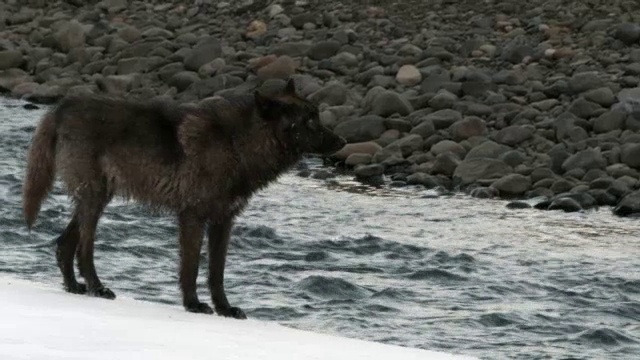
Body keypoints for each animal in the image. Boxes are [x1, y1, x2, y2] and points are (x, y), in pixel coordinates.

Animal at [21, 79, 344, 318]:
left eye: (317, 115)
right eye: (309, 121)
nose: (342, 141)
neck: (237, 145)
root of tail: (62, 106)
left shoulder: (224, 222)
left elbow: (217, 272)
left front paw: (225, 309)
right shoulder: (192, 217)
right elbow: (191, 267)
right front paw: (193, 305)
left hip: (97, 199)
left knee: (64, 244)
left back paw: (74, 287)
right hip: (95, 199)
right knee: (83, 250)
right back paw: (97, 288)